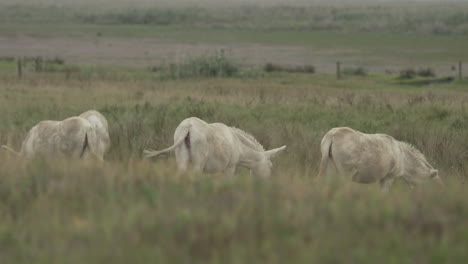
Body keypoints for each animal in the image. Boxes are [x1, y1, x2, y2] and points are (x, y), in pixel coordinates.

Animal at [144, 116, 288, 176]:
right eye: (271, 166)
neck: (239, 146)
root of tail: (188, 126)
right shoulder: (230, 167)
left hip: (181, 158)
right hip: (197, 163)